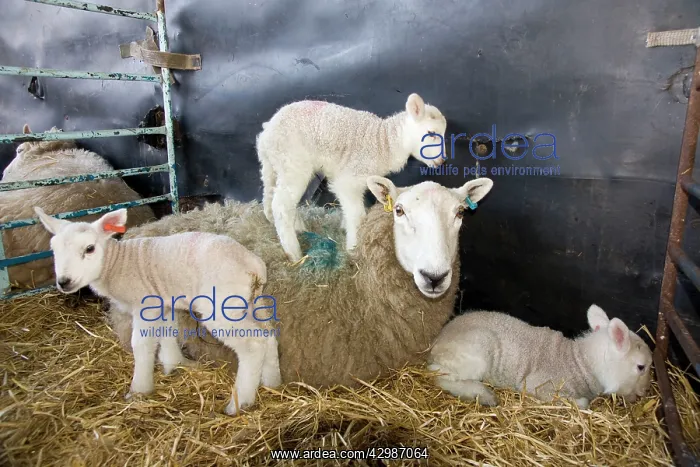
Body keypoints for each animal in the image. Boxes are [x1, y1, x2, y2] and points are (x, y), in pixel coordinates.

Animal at [33, 206, 282, 415]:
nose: (64, 282)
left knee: (252, 344)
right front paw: (174, 363)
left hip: (221, 306)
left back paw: (239, 403)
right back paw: (271, 382)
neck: (116, 264)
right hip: (252, 302)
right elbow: (168, 332)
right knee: (267, 335)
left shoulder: (145, 304)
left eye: (89, 248)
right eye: (53, 250)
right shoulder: (162, 301)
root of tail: (252, 265)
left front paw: (139, 389)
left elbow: (142, 344)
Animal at [256, 94, 448, 262]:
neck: (385, 143)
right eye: (431, 133)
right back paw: (294, 253)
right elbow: (357, 215)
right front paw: (353, 248)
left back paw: (290, 225)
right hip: (294, 162)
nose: (442, 161)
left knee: (270, 194)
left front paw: (344, 227)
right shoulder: (349, 179)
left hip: (273, 165)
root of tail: (267, 131)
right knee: (281, 205)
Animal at [427, 304, 654, 409]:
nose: (643, 393)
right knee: (440, 376)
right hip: (475, 354)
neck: (580, 363)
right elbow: (582, 403)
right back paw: (482, 394)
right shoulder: (539, 386)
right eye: (641, 367)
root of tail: (437, 341)